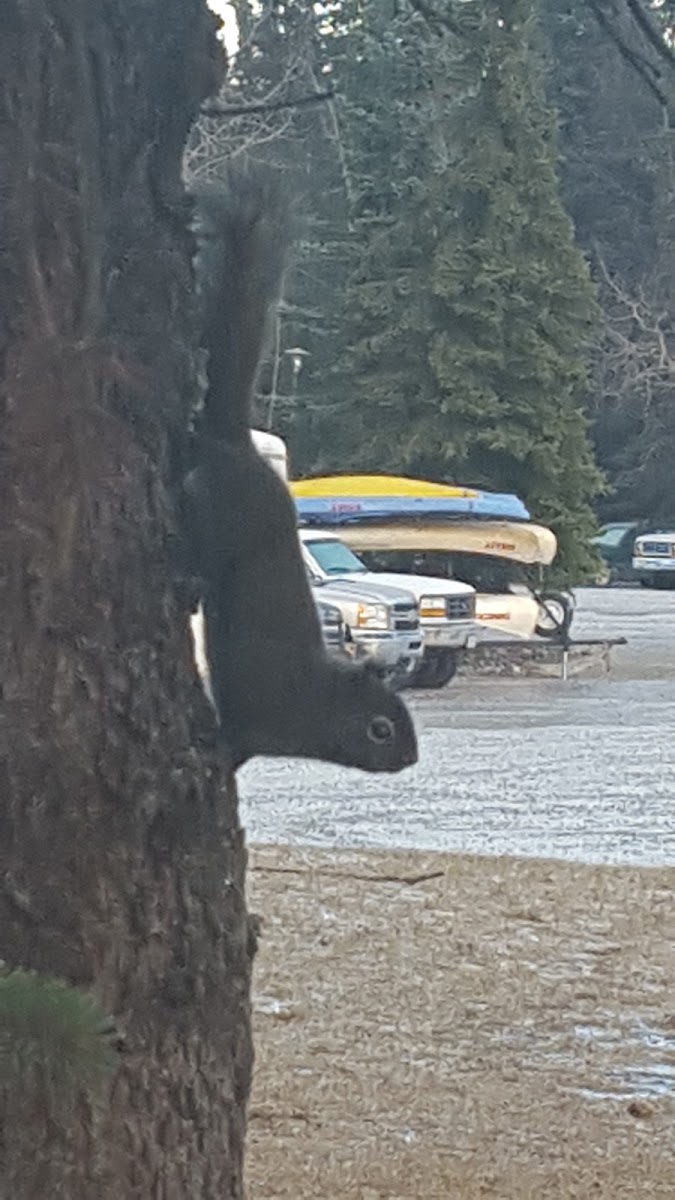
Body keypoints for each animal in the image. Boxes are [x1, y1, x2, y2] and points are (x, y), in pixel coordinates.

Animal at [183, 166, 415, 768]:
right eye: (381, 729)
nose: (410, 758)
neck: (318, 702)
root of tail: (239, 446)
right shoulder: (263, 719)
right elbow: (235, 744)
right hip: (219, 511)